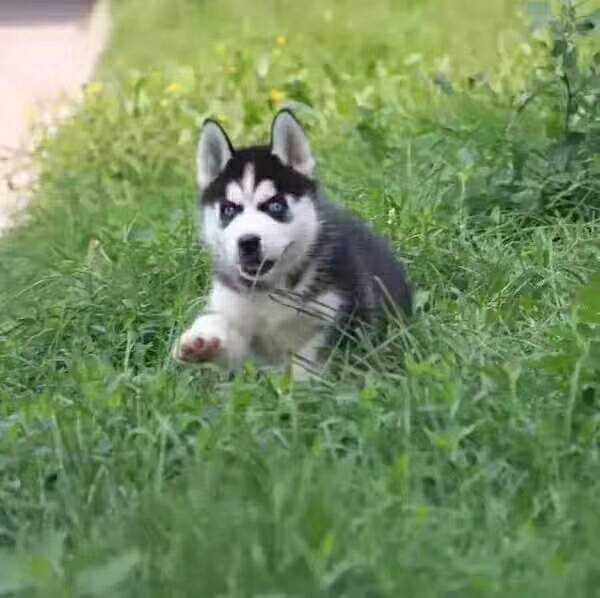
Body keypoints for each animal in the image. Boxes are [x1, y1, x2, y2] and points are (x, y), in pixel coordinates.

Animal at [171, 110, 410, 380]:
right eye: (229, 210)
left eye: (275, 205)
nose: (247, 242)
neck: (270, 288)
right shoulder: (239, 320)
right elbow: (228, 335)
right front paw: (201, 340)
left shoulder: (340, 314)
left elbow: (312, 359)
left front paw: (303, 387)